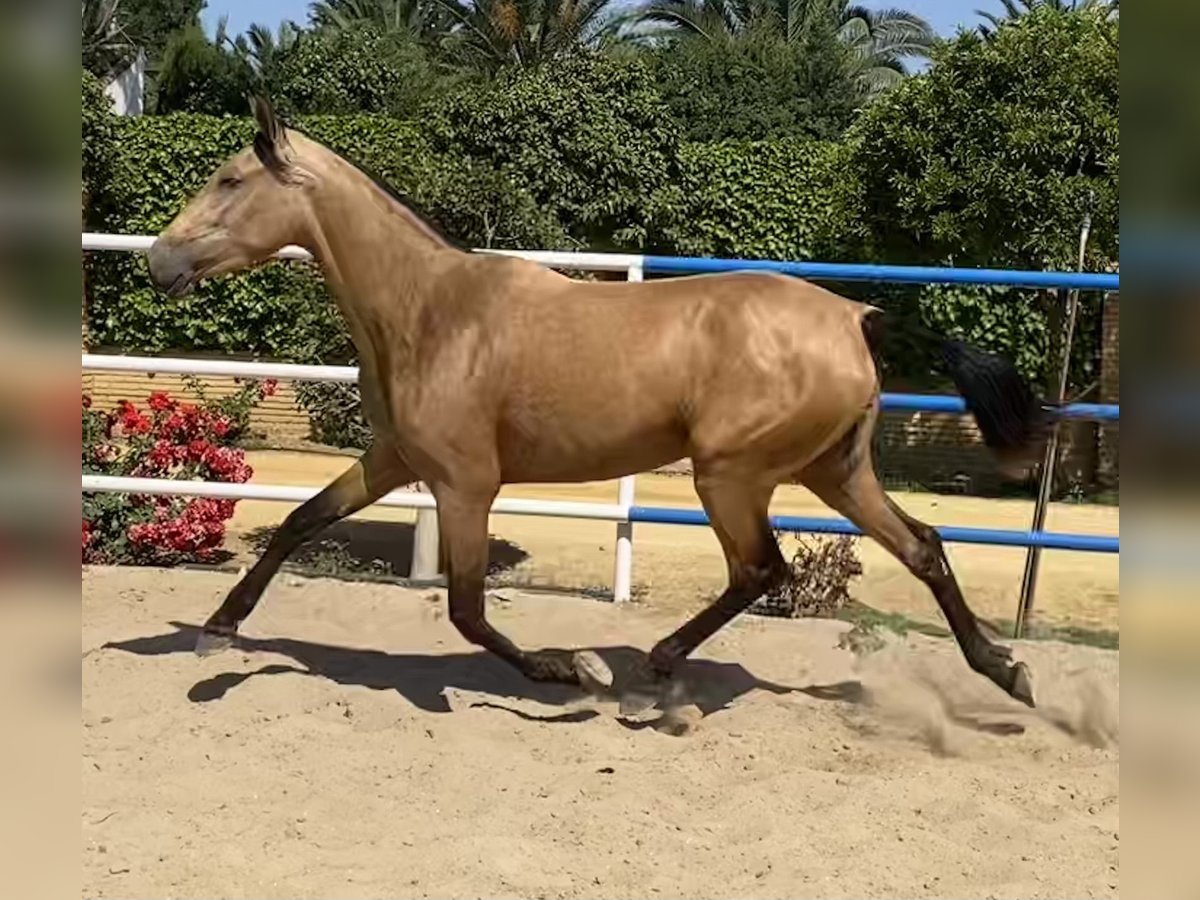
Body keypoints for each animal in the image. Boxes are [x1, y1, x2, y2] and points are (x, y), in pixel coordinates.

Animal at [147, 97, 1051, 710]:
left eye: (229, 179)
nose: (158, 262)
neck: (429, 311)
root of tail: (856, 315)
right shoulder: (395, 460)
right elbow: (300, 523)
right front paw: (217, 630)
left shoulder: (466, 484)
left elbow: (467, 609)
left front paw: (565, 670)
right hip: (834, 470)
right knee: (923, 546)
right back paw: (1006, 671)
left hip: (731, 475)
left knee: (762, 569)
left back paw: (650, 670)